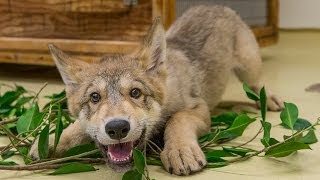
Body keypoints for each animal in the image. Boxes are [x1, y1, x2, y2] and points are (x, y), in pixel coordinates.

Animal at [29, 5, 280, 176]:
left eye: (136, 93)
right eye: (94, 97)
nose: (117, 128)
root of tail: (218, 6)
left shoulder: (197, 108)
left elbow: (177, 121)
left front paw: (180, 150)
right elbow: (77, 128)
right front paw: (50, 140)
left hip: (249, 67)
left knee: (258, 84)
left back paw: (269, 100)